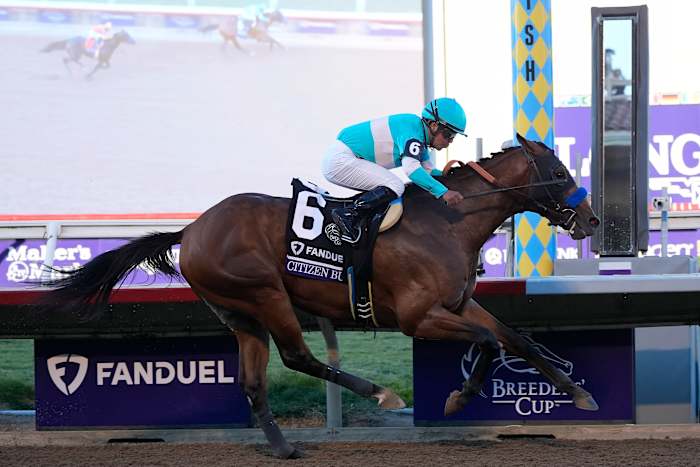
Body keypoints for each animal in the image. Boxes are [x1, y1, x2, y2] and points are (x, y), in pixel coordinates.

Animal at [40, 134, 600, 459]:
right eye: (559, 172)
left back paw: (282, 447)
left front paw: (577, 392)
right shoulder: (420, 317)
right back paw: (381, 393)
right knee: (298, 357)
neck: (447, 221)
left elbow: (518, 339)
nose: (591, 219)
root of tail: (191, 229)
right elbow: (488, 342)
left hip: (240, 314)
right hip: (265, 294)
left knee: (252, 380)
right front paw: (459, 397)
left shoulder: (460, 303)